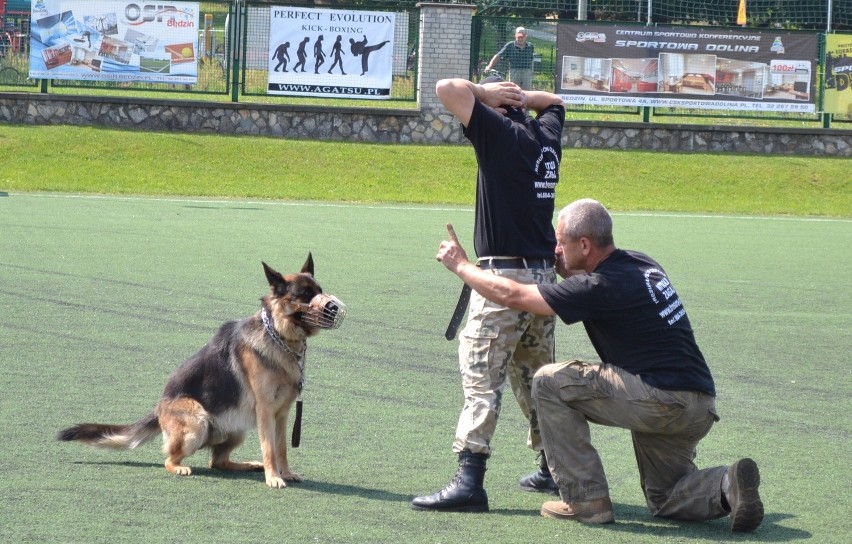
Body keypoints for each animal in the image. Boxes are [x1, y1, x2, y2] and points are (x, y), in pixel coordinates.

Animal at [57, 255, 346, 488]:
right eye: (305, 295)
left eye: (319, 290)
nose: (333, 308)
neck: (278, 335)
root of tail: (158, 408)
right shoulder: (265, 411)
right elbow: (269, 448)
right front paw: (274, 477)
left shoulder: (282, 414)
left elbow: (281, 448)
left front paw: (283, 472)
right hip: (198, 422)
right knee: (170, 459)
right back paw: (182, 467)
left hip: (238, 426)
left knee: (217, 461)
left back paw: (249, 465)